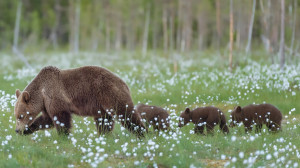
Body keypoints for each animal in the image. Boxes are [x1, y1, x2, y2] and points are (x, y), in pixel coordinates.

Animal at [13, 65, 147, 136]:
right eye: (16, 116)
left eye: (20, 115)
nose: (16, 130)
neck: (42, 92)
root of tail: (124, 83)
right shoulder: (46, 104)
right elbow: (46, 119)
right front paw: (27, 130)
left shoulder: (55, 96)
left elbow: (60, 117)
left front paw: (63, 136)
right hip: (102, 106)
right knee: (104, 120)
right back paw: (104, 135)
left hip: (110, 94)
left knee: (126, 113)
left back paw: (142, 132)